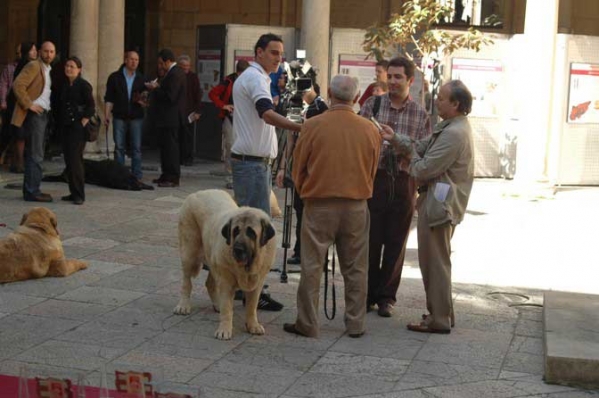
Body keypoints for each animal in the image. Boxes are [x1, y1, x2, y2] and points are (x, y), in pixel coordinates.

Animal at [173, 190, 276, 338]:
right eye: (235, 231)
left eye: (251, 232)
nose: (237, 249)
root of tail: (197, 193)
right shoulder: (226, 282)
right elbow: (227, 308)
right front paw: (224, 330)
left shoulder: (257, 283)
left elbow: (252, 307)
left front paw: (253, 325)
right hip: (189, 253)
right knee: (186, 282)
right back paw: (183, 305)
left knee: (210, 283)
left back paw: (217, 305)